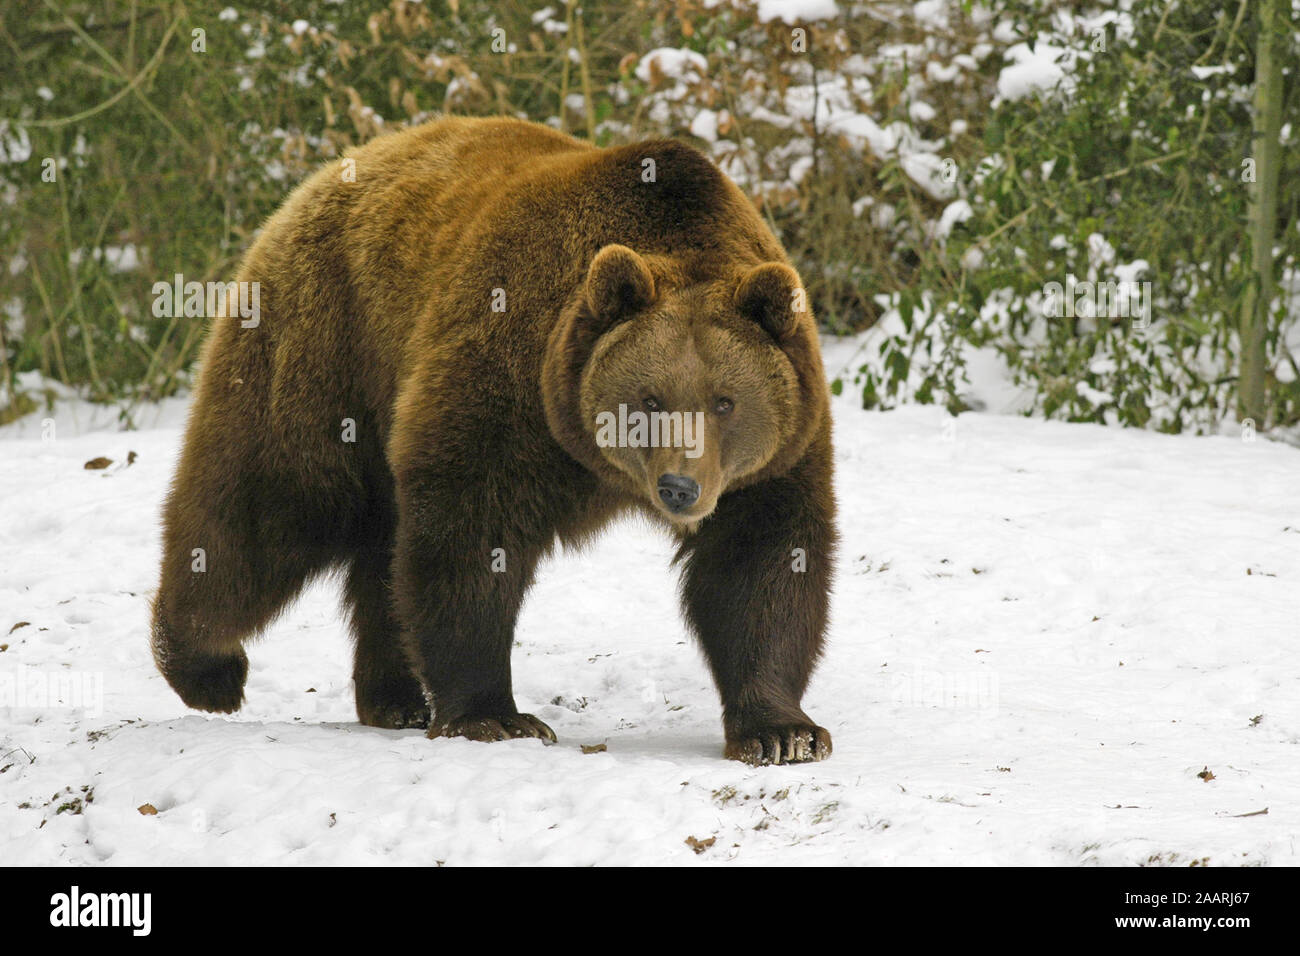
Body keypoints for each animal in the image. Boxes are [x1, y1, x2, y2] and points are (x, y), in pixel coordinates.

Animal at [152, 115, 837, 764]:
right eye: (649, 399)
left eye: (725, 401)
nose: (679, 488)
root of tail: (329, 174)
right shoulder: (507, 385)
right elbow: (472, 535)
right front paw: (496, 716)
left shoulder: (773, 455)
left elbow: (761, 562)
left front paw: (782, 732)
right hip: (327, 341)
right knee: (269, 501)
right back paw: (204, 668)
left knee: (376, 550)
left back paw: (393, 698)